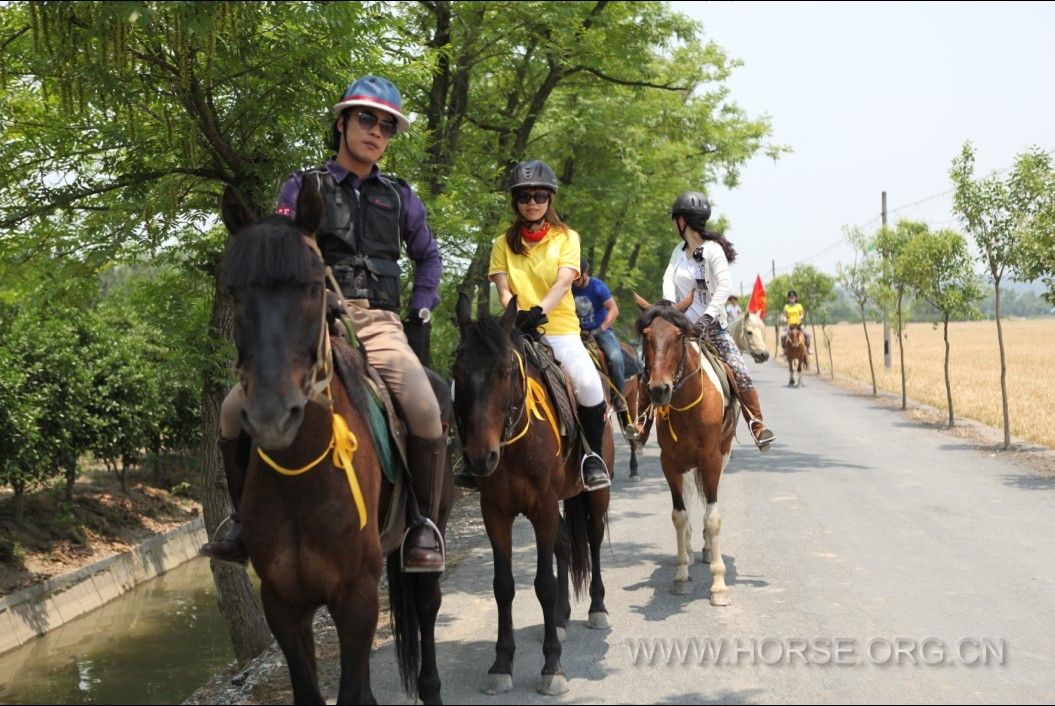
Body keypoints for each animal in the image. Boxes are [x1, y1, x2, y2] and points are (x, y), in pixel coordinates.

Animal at [220, 181, 451, 704]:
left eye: (311, 287)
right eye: (233, 291)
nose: (272, 416)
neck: (301, 477)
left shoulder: (356, 596)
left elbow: (355, 693)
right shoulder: (282, 601)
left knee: (426, 604)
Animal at [451, 291, 616, 692]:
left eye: (507, 371)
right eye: (457, 373)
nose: (480, 458)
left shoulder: (541, 508)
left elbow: (543, 583)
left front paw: (552, 666)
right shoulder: (495, 512)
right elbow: (503, 585)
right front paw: (501, 664)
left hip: (592, 495)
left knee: (592, 539)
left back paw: (597, 609)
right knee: (564, 545)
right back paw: (559, 617)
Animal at [628, 291, 738, 607]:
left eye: (678, 336)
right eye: (647, 335)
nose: (658, 390)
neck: (689, 406)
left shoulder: (711, 460)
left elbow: (712, 518)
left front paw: (718, 584)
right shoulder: (671, 463)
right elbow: (679, 515)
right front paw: (681, 576)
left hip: (721, 455)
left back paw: (705, 549)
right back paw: (688, 548)